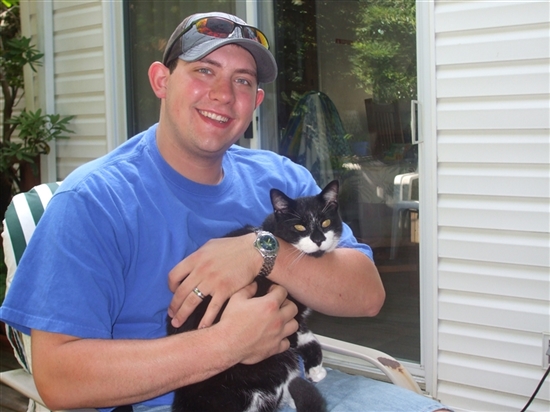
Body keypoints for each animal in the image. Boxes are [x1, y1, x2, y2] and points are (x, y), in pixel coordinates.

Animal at [169, 180, 344, 412]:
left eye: (325, 222)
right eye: (299, 227)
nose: (318, 239)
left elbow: (307, 335)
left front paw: (315, 369)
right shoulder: (289, 315)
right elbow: (296, 337)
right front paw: (311, 372)